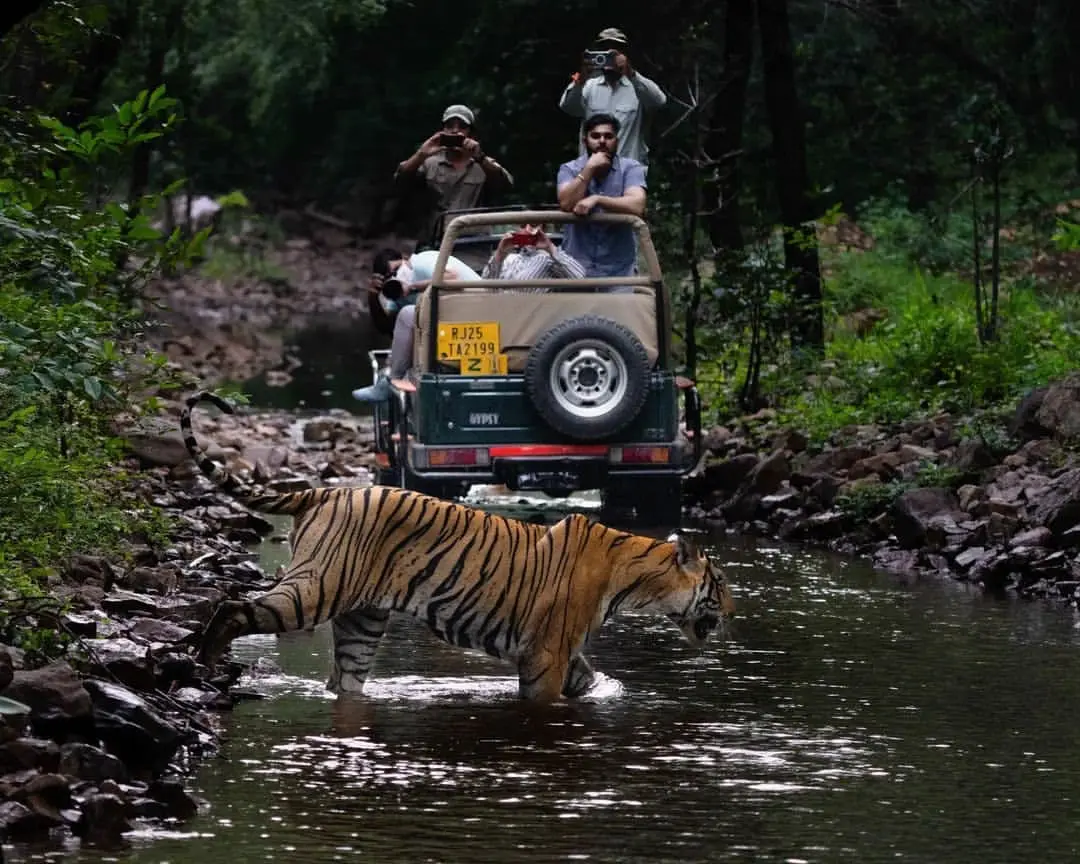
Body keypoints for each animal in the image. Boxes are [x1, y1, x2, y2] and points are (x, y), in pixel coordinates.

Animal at [180, 391, 735, 702]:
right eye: (721, 584)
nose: (732, 612)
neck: (635, 578)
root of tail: (328, 490)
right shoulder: (546, 654)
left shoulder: (565, 653)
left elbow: (590, 680)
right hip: (316, 588)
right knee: (232, 607)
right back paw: (203, 665)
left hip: (362, 619)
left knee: (344, 681)